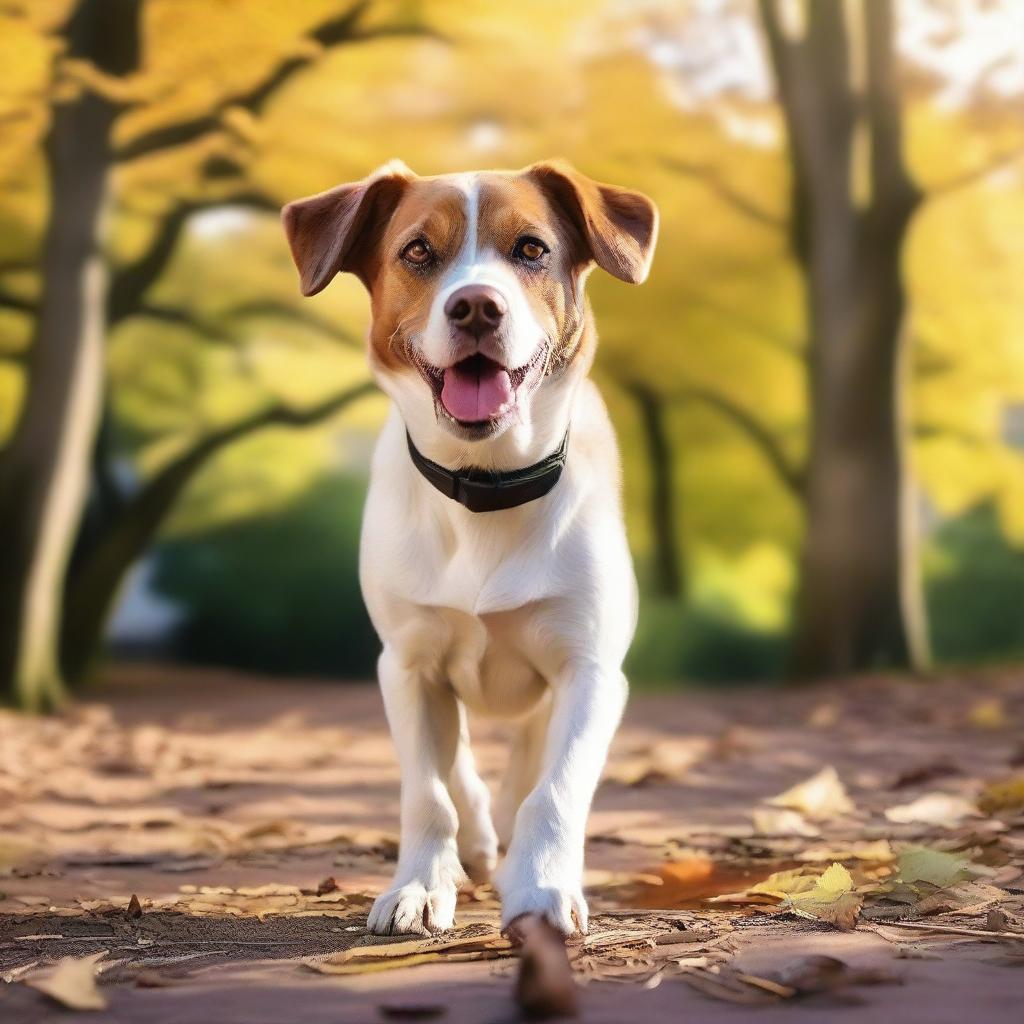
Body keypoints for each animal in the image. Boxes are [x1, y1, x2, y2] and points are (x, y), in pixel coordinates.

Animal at [284, 157, 659, 937]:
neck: (485, 488)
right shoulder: (407, 662)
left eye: (532, 249)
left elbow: (557, 788)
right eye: (418, 251)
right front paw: (422, 885)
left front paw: (542, 885)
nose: (478, 306)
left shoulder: (591, 670)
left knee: (529, 760)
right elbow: (430, 789)